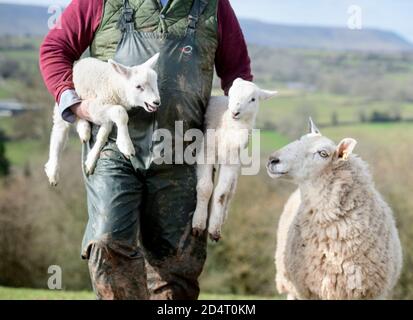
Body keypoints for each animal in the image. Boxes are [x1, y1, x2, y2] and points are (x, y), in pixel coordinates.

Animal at [44, 53, 160, 186]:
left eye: (155, 83)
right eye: (138, 86)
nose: (156, 102)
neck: (115, 86)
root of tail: (80, 62)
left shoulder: (106, 116)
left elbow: (102, 135)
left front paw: (91, 161)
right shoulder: (96, 106)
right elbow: (121, 113)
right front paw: (126, 145)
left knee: (78, 118)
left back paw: (84, 130)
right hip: (64, 105)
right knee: (59, 132)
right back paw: (53, 171)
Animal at [191, 79, 276, 241]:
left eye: (253, 99)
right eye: (231, 94)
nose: (234, 112)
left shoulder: (231, 160)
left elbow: (222, 194)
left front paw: (214, 229)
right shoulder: (207, 152)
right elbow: (205, 188)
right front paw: (198, 224)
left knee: (231, 192)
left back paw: (223, 216)